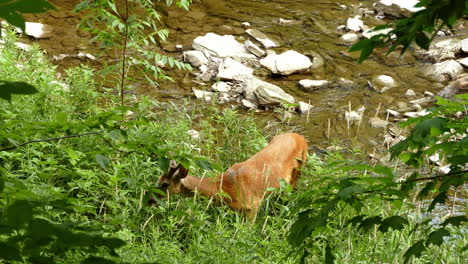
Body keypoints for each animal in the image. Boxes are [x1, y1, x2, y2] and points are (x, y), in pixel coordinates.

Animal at [156, 132, 308, 221]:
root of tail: (300, 137)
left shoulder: (253, 205)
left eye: (165, 184)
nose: (152, 198)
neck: (224, 187)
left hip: (299, 168)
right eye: (158, 180)